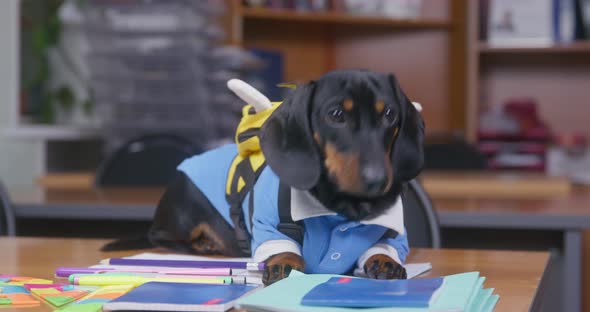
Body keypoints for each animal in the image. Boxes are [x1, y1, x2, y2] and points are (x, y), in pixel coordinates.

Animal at [148, 70, 426, 286]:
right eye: (336, 114)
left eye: (389, 113)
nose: (377, 179)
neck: (343, 207)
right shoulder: (266, 224)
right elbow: (280, 245)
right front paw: (285, 263)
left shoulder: (394, 230)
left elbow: (385, 244)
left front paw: (385, 260)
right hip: (183, 217)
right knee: (161, 237)